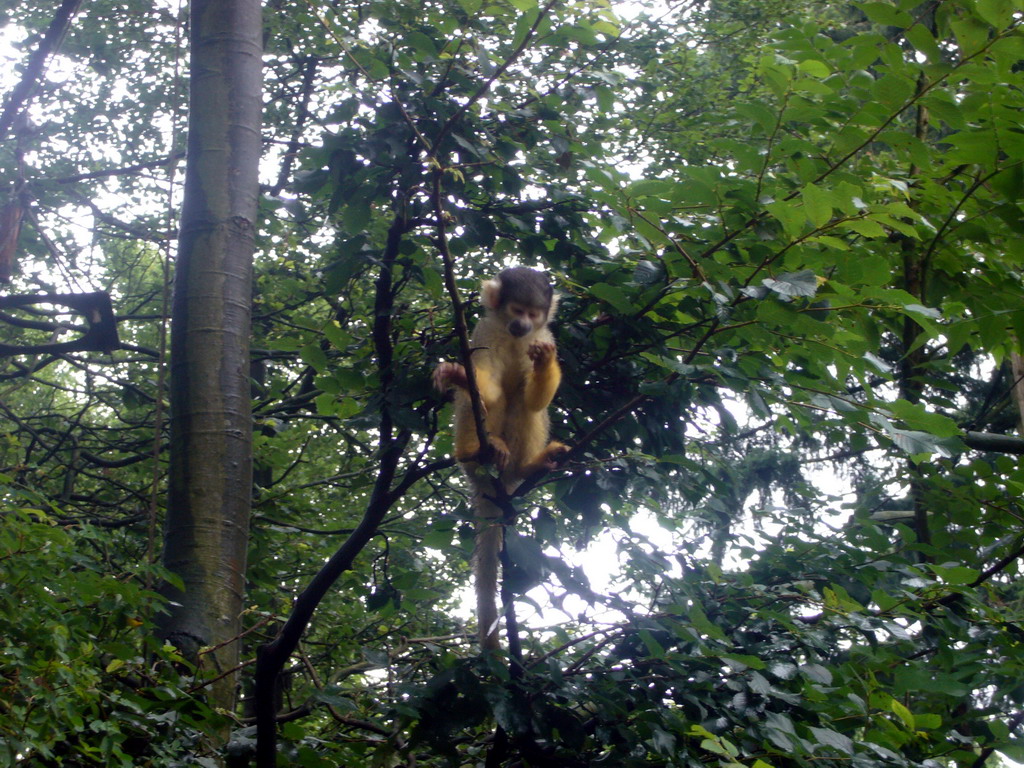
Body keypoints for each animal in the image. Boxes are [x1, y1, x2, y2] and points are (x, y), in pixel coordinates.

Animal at [434, 268, 573, 651]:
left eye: (534, 314)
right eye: (517, 310)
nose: (523, 325)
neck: (513, 337)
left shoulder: (545, 335)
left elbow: (535, 399)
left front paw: (544, 362)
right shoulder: (482, 334)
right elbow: (486, 389)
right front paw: (459, 374)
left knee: (524, 403)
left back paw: (529, 465)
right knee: (476, 404)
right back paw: (479, 449)